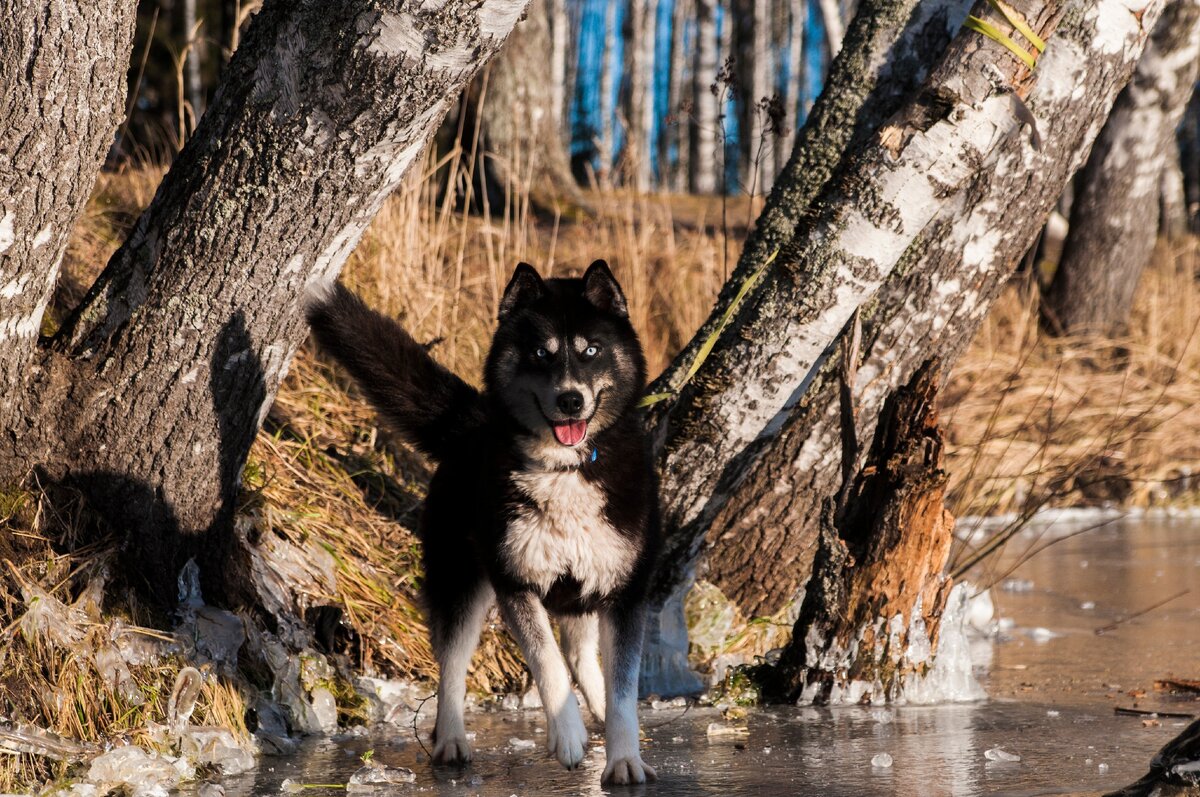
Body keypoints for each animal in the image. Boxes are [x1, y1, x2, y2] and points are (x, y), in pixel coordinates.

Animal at [304, 261, 662, 782]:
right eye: (540, 353)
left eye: (592, 350)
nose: (571, 400)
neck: (565, 469)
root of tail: (473, 423)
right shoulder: (515, 581)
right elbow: (546, 661)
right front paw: (567, 734)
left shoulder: (625, 589)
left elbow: (622, 688)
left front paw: (625, 759)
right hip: (461, 583)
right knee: (452, 665)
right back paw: (451, 741)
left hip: (583, 589)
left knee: (583, 655)